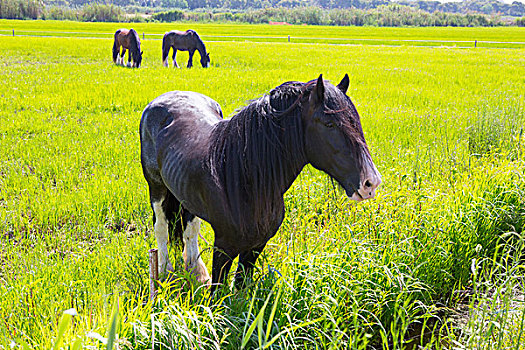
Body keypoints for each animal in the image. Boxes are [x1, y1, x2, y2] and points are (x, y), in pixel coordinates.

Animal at [139, 74, 380, 292]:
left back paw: (196, 274)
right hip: (156, 187)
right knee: (161, 227)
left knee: (190, 228)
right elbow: (218, 294)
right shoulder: (224, 247)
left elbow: (240, 288)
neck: (244, 180)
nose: (371, 183)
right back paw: (164, 273)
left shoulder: (256, 246)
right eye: (329, 124)